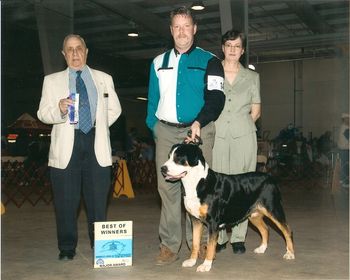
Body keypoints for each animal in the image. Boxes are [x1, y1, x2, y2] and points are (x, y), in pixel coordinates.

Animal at [161, 143, 296, 272]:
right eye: (168, 156)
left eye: (178, 158)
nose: (163, 168)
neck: (197, 182)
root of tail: (269, 177)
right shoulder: (196, 220)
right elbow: (195, 243)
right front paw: (192, 261)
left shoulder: (213, 223)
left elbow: (210, 246)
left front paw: (206, 265)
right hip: (254, 215)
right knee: (265, 229)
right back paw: (262, 248)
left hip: (273, 209)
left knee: (287, 230)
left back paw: (290, 253)